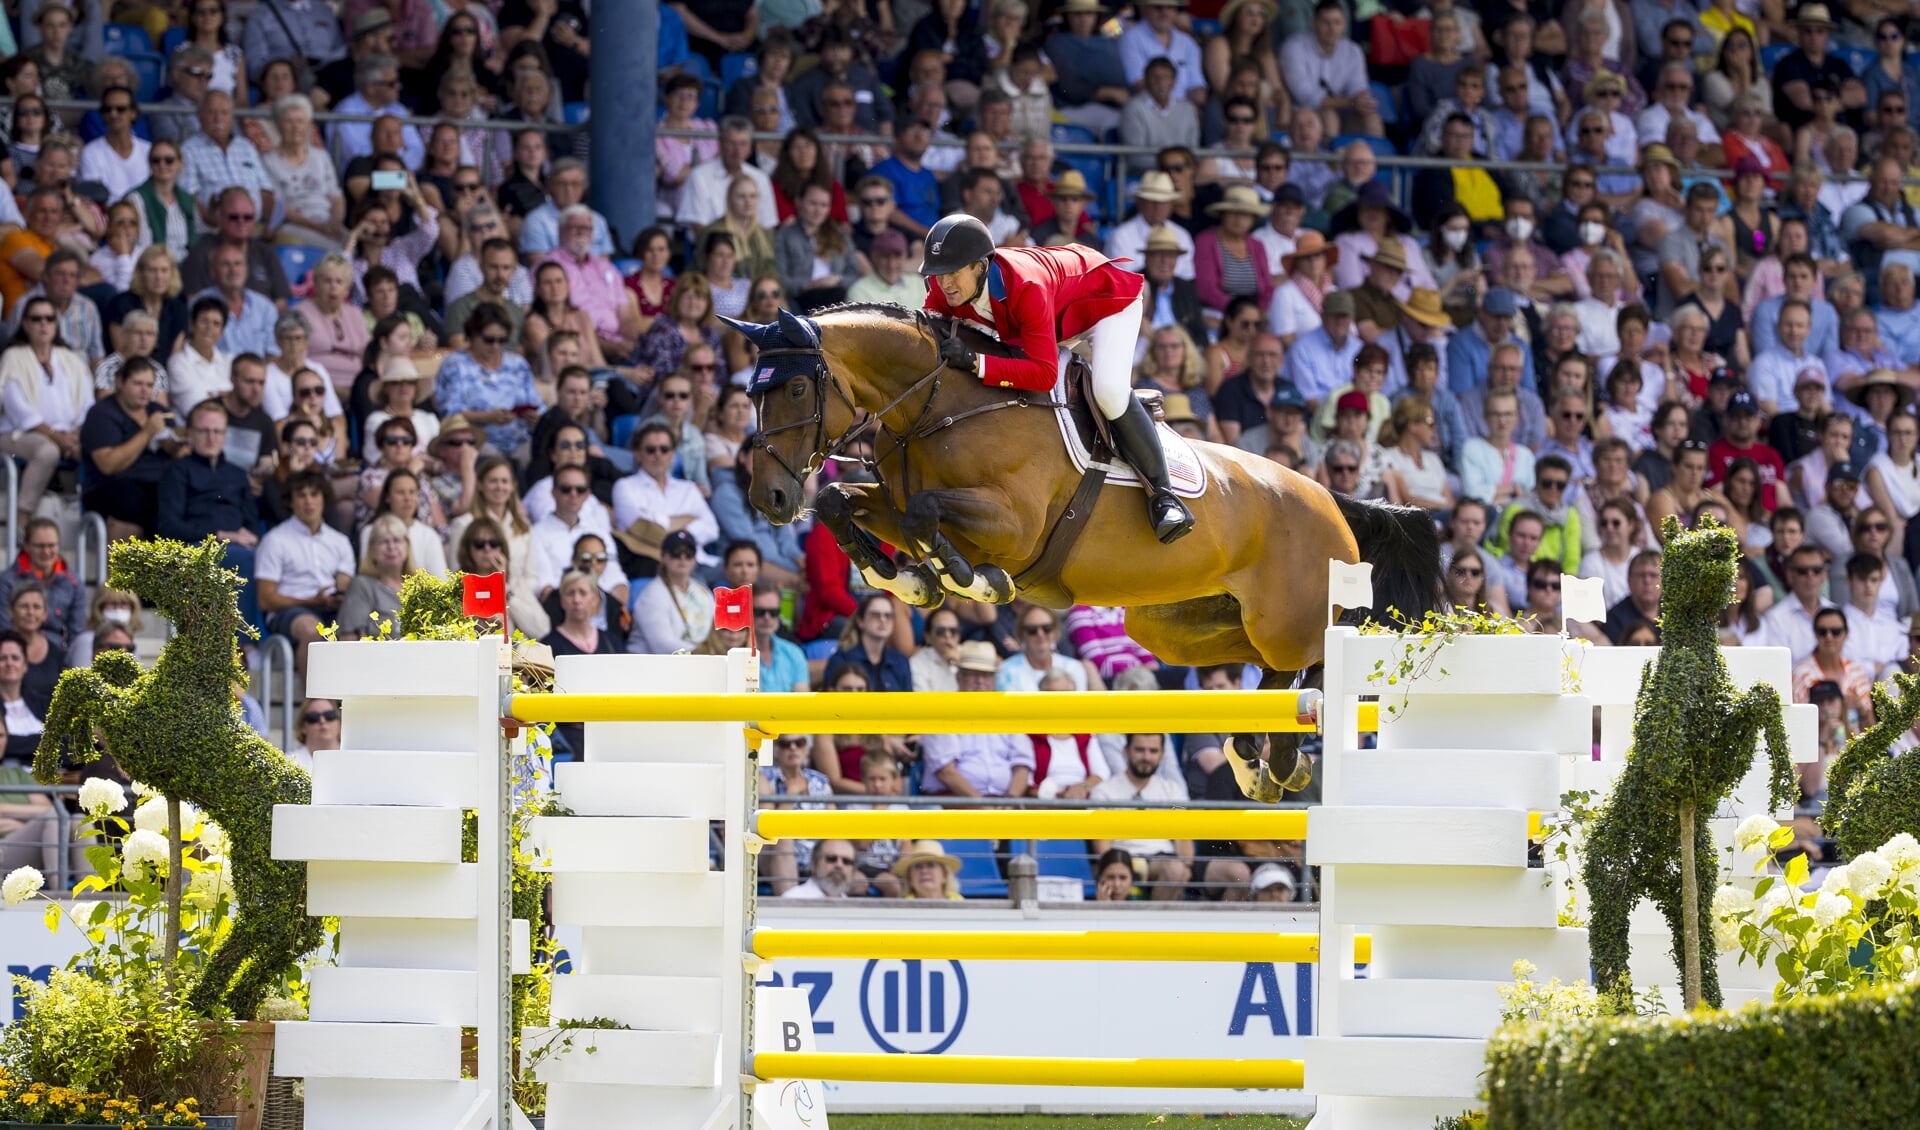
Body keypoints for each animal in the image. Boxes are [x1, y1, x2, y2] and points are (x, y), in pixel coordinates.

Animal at [724, 304, 1443, 798]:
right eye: (752, 394)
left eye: (795, 389)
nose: (771, 498)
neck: (938, 404)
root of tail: (1331, 498)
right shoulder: (896, 504)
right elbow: (843, 500)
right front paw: (905, 578)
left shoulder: (1012, 525)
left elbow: (931, 516)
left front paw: (968, 580)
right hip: (1174, 628)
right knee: (1268, 668)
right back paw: (1253, 759)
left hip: (1287, 614)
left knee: (1312, 658)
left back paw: (1284, 760)